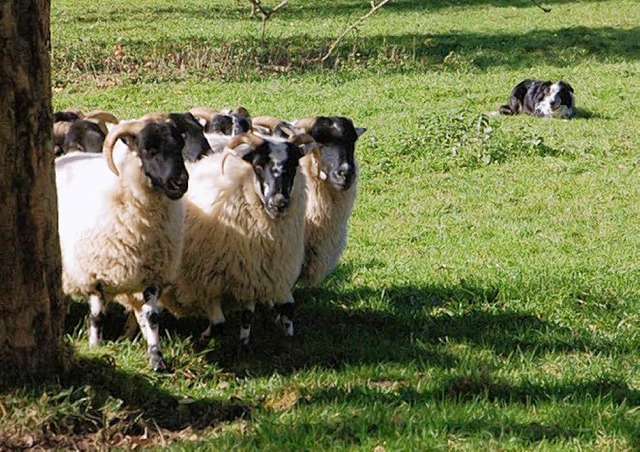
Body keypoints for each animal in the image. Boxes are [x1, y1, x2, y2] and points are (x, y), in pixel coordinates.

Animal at [56, 117, 191, 370]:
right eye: (149, 150)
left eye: (180, 146)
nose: (180, 183)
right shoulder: (94, 275)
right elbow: (97, 317)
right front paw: (95, 349)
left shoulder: (153, 275)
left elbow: (152, 317)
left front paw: (156, 358)